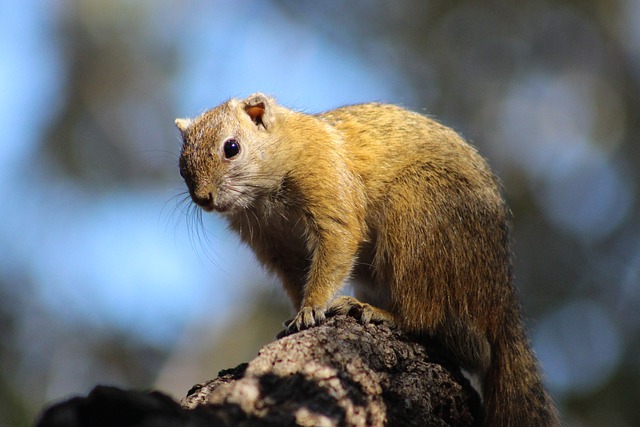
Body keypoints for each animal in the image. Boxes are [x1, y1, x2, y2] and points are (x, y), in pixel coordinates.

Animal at [175, 93, 560, 427]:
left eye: (232, 148)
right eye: (181, 163)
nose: (203, 198)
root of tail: (500, 298)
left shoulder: (328, 183)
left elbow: (336, 243)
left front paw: (310, 310)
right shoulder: (276, 247)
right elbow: (296, 277)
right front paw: (298, 312)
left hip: (417, 214)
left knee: (444, 328)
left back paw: (376, 312)